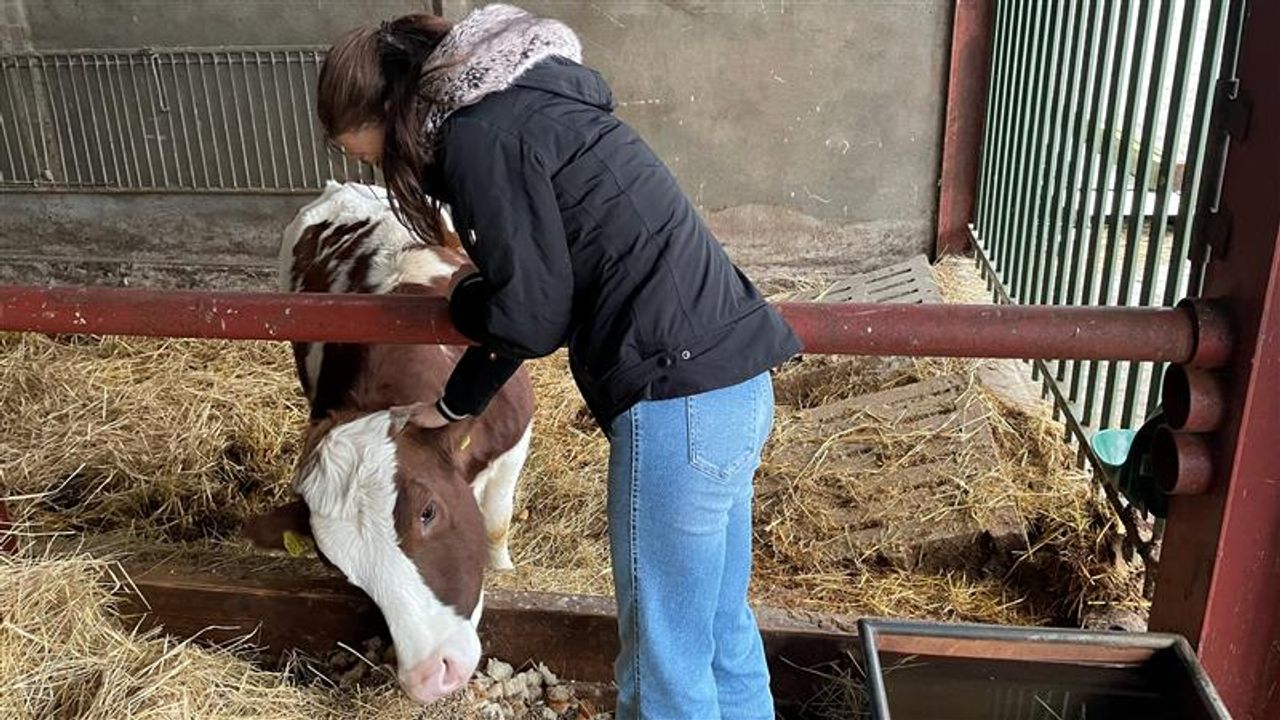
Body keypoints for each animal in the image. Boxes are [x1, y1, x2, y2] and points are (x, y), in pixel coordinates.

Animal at [243, 180, 535, 705]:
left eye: (428, 511)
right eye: (339, 568)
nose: (430, 674)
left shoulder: (515, 440)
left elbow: (496, 522)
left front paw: (504, 570)